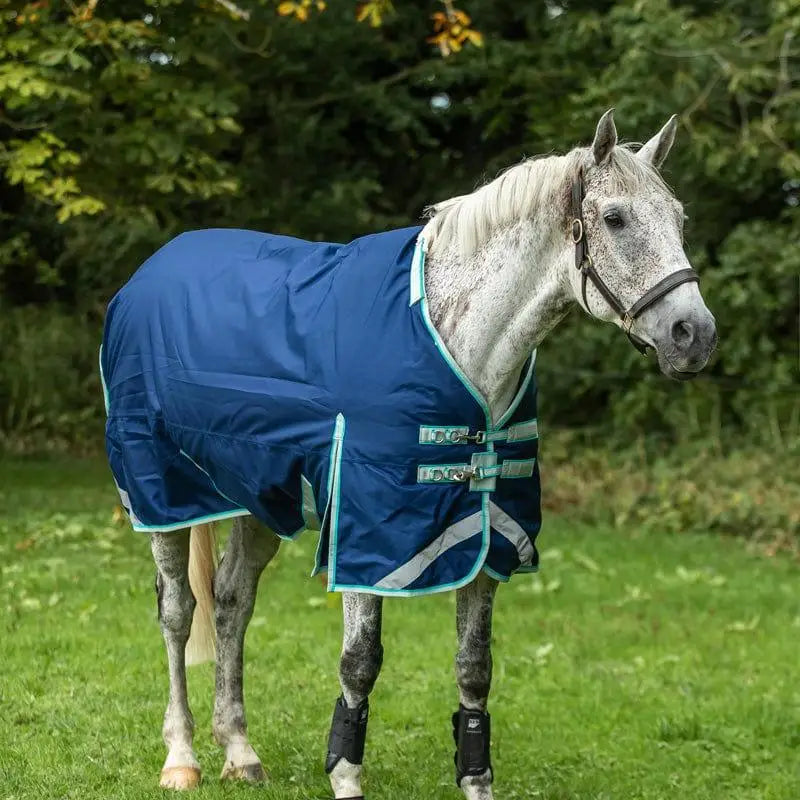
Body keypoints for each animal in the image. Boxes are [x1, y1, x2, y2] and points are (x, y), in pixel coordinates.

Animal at [100, 109, 716, 800]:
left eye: (678, 218)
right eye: (614, 218)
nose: (694, 334)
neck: (457, 337)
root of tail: (146, 275)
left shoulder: (488, 537)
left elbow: (474, 668)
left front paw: (476, 783)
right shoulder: (366, 538)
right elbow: (359, 663)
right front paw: (345, 778)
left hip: (260, 499)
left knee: (232, 604)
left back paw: (240, 750)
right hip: (163, 496)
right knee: (178, 613)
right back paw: (181, 756)